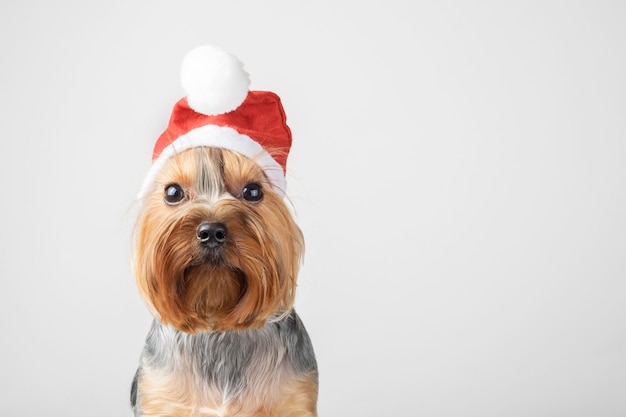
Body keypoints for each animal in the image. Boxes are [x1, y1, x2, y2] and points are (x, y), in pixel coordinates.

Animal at [130, 44, 316, 414]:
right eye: (173, 192)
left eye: (253, 191)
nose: (211, 231)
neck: (219, 326)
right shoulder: (158, 396)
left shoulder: (296, 398)